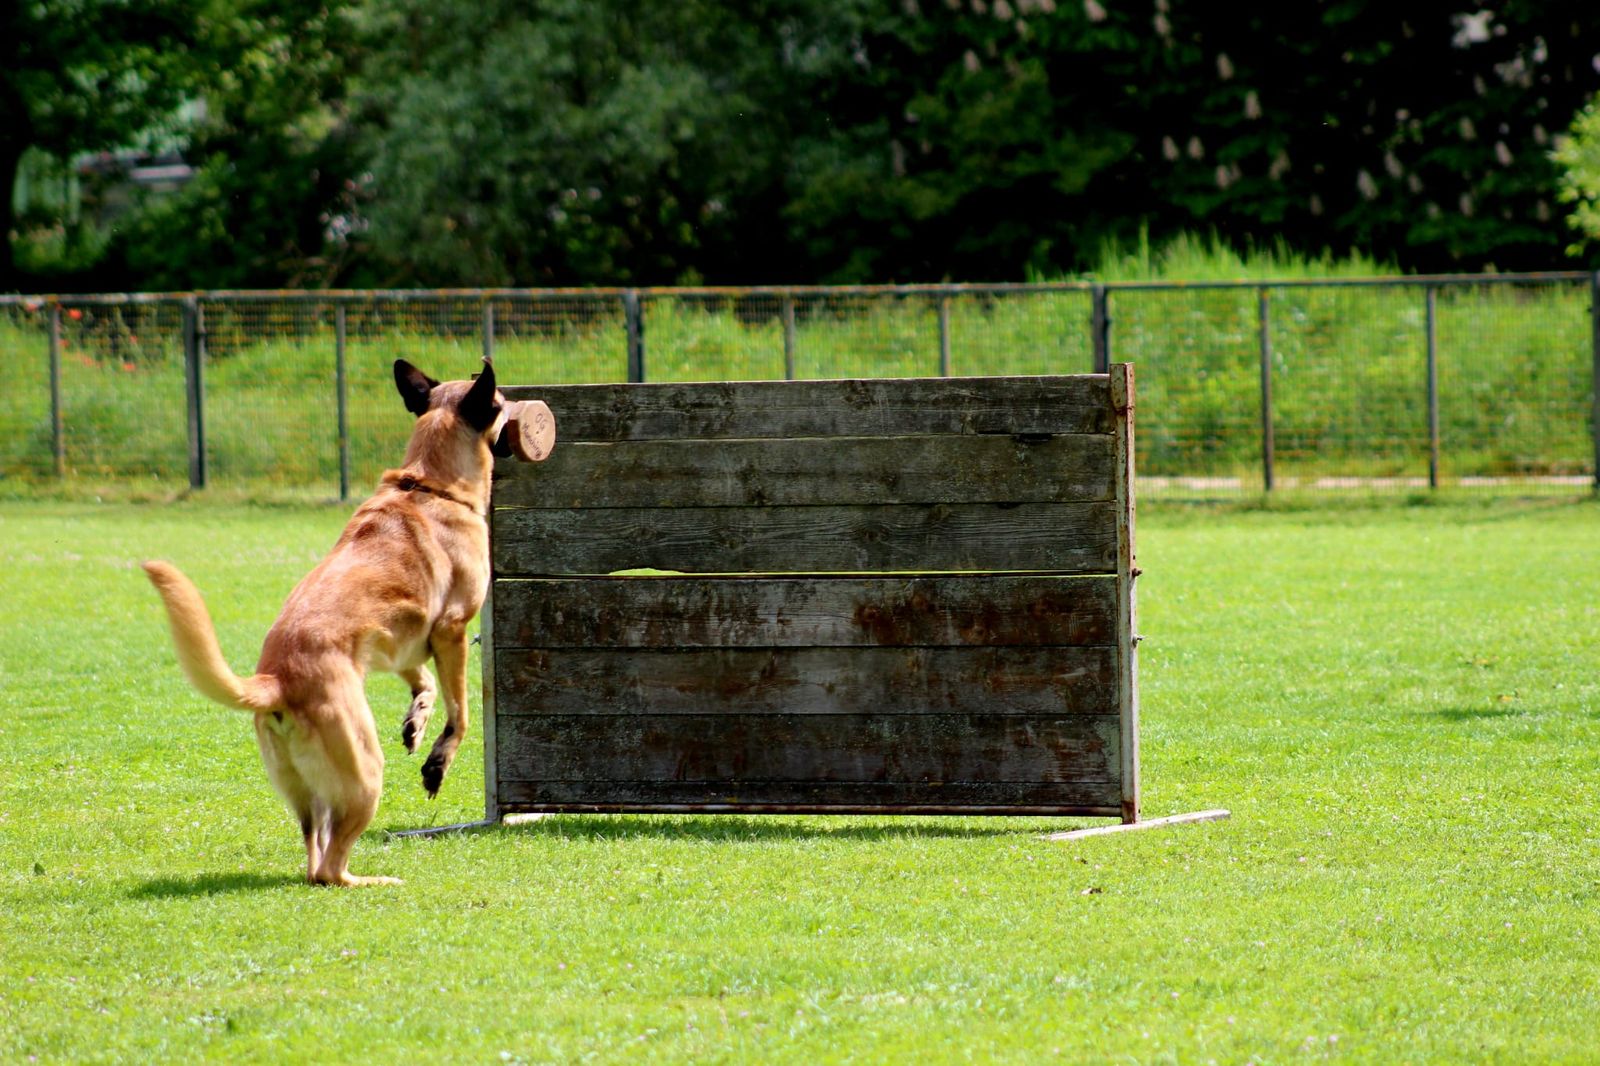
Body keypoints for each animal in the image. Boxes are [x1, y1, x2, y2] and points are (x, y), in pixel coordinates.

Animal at [143, 356, 508, 877]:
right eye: (501, 402)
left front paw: (416, 721)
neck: (432, 484)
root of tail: (274, 681)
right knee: (330, 869)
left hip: (307, 793)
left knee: (315, 854)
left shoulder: (400, 644)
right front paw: (437, 762)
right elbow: (460, 713)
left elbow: (425, 683)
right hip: (364, 770)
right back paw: (375, 880)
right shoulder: (451, 631)